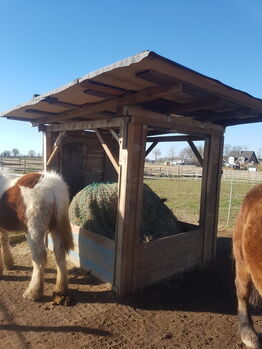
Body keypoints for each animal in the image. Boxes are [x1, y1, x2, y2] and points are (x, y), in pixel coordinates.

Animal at [0, 169, 73, 300]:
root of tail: (53, 186)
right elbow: (3, 239)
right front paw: (8, 264)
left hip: (33, 230)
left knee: (39, 256)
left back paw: (33, 292)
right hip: (55, 229)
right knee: (59, 253)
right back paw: (61, 289)